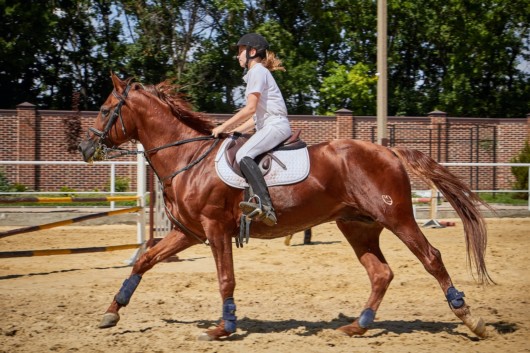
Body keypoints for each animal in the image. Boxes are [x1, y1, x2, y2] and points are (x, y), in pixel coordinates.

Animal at [77, 74, 490, 340]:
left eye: (104, 110)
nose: (84, 148)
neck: (188, 159)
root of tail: (388, 150)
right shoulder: (188, 233)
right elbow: (144, 260)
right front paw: (112, 311)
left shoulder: (214, 229)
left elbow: (225, 278)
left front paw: (223, 328)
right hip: (358, 225)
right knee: (380, 273)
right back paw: (358, 325)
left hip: (396, 217)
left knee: (431, 258)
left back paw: (470, 318)